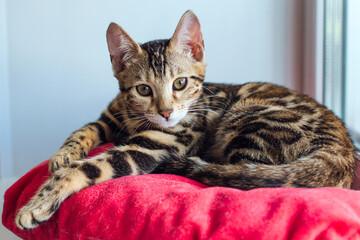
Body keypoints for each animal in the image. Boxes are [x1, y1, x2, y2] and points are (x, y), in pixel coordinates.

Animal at [16, 10, 358, 230]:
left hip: (251, 117)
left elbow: (88, 167)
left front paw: (36, 205)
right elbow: (84, 129)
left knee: (242, 178)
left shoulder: (151, 147)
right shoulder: (110, 117)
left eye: (180, 83)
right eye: (143, 89)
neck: (134, 118)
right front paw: (63, 154)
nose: (167, 112)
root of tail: (341, 151)